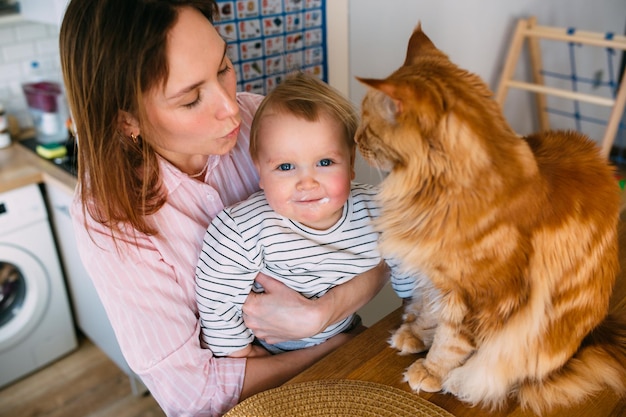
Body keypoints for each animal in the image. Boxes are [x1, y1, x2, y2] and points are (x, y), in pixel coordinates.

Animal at [354, 24, 624, 414]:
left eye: (366, 123)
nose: (354, 138)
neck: (437, 195)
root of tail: (592, 337)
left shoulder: (483, 297)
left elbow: (451, 342)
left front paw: (431, 371)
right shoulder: (436, 277)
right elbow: (433, 315)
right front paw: (418, 334)